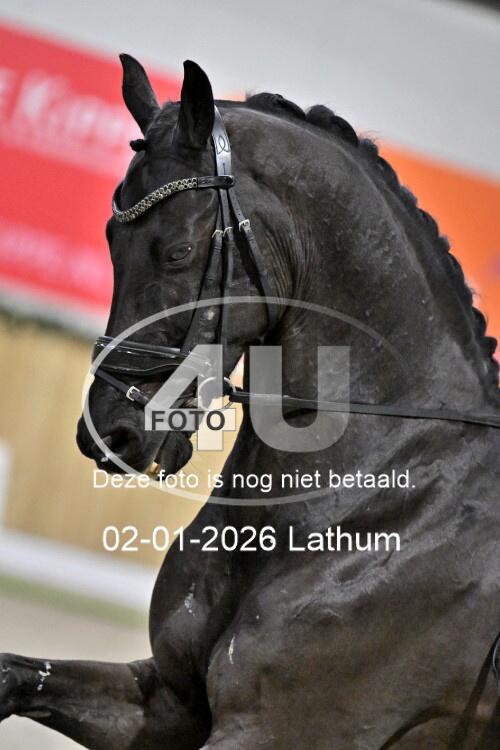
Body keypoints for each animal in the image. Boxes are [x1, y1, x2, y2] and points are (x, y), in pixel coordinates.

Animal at [1, 55, 500, 749]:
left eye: (178, 251)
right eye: (109, 239)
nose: (110, 432)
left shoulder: (274, 728)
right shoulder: (167, 699)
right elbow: (15, 675)